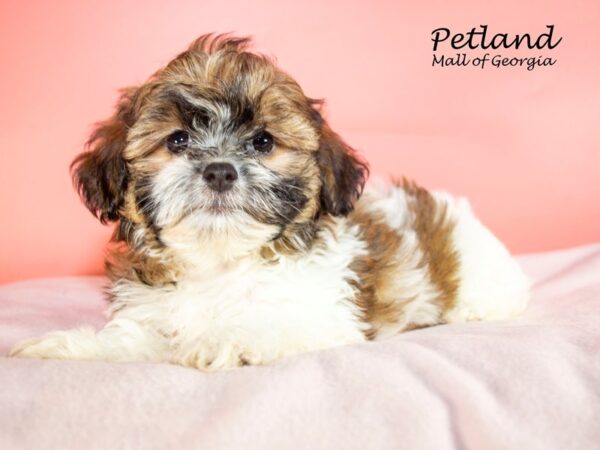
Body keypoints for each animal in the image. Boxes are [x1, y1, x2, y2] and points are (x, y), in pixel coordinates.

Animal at [9, 35, 528, 370]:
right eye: (177, 140)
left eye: (262, 142)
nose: (220, 170)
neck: (219, 263)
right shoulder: (154, 314)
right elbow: (133, 339)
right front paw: (64, 348)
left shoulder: (322, 317)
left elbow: (269, 326)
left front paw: (219, 342)